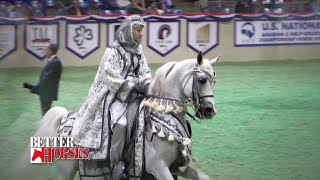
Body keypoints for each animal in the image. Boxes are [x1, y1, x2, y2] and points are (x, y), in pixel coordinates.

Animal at [17, 51, 220, 179]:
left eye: (214, 81)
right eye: (202, 80)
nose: (210, 110)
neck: (163, 114)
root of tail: (63, 120)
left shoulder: (178, 167)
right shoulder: (159, 167)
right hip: (66, 170)